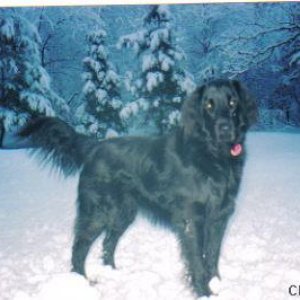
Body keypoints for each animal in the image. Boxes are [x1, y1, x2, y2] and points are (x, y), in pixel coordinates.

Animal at [0, 78, 258, 296]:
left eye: (232, 102)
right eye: (208, 104)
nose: (225, 128)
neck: (213, 155)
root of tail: (95, 147)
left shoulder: (219, 216)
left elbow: (212, 255)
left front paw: (217, 284)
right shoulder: (191, 219)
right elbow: (197, 259)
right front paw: (204, 292)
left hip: (122, 213)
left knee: (107, 244)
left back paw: (112, 273)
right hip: (97, 212)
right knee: (79, 246)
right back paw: (81, 282)